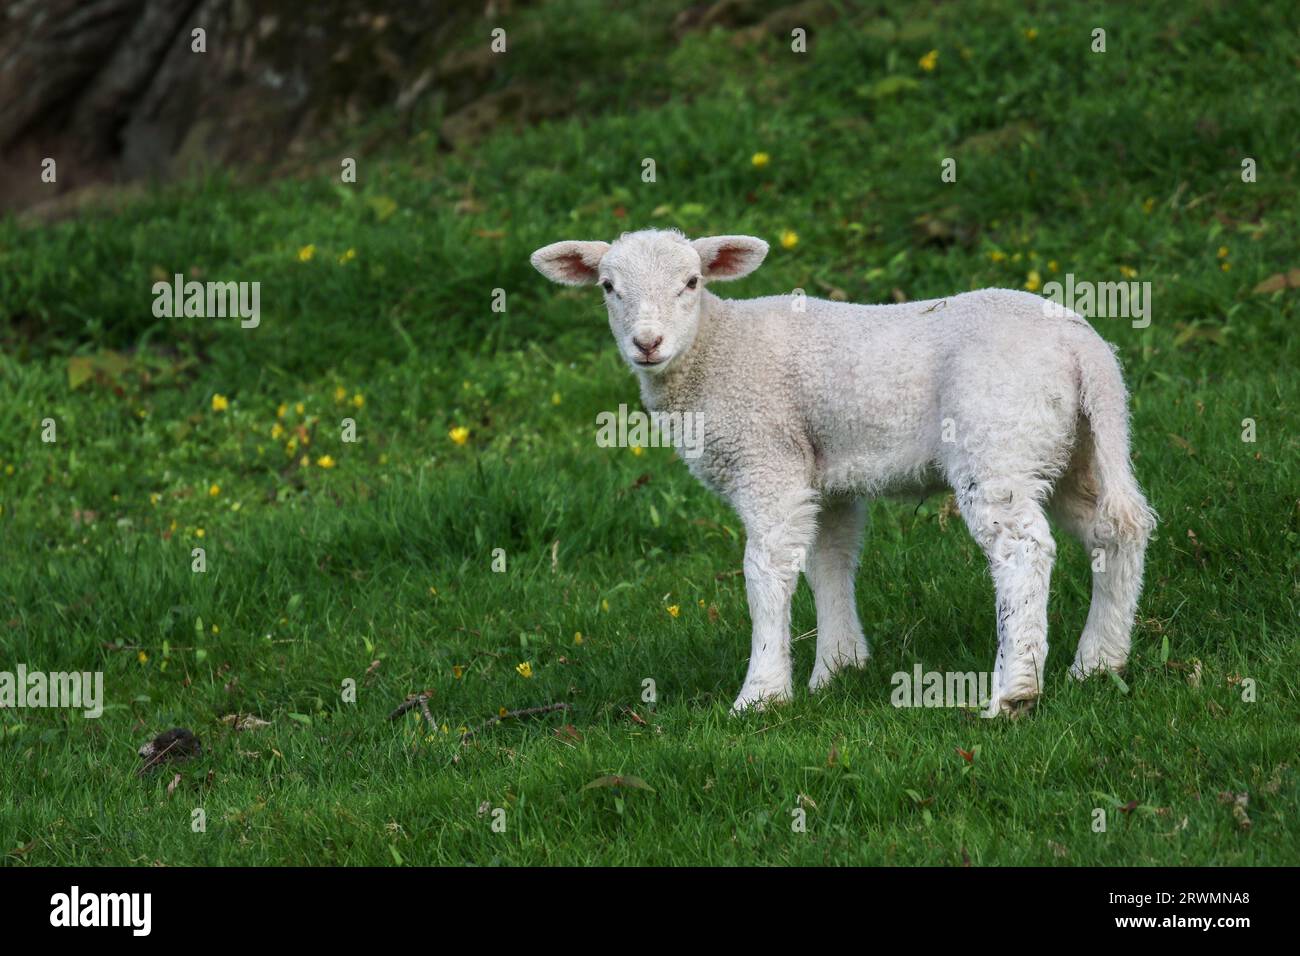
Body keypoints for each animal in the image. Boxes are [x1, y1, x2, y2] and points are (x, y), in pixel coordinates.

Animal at [527, 230, 1159, 717]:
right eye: (608, 287)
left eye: (692, 282)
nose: (647, 343)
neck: (714, 350)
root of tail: (1086, 351)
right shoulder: (824, 477)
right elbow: (828, 562)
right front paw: (837, 669)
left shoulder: (768, 461)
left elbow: (767, 571)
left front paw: (762, 694)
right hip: (1073, 445)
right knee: (1115, 530)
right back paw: (1098, 662)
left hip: (998, 437)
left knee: (1023, 551)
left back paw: (1015, 691)